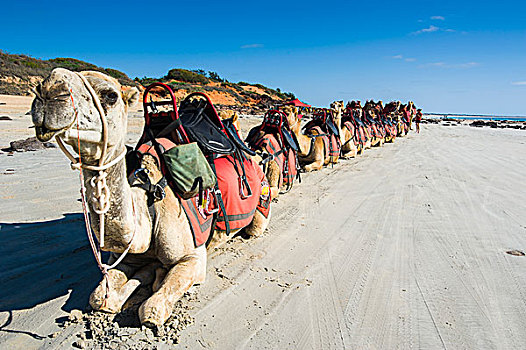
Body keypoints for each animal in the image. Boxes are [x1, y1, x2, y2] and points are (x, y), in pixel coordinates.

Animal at [32, 67, 272, 326]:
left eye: (110, 96)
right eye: (39, 86)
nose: (48, 90)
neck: (149, 202)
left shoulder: (193, 258)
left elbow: (151, 310)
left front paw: (153, 279)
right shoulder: (125, 258)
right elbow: (99, 297)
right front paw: (139, 281)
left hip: (261, 204)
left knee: (255, 226)